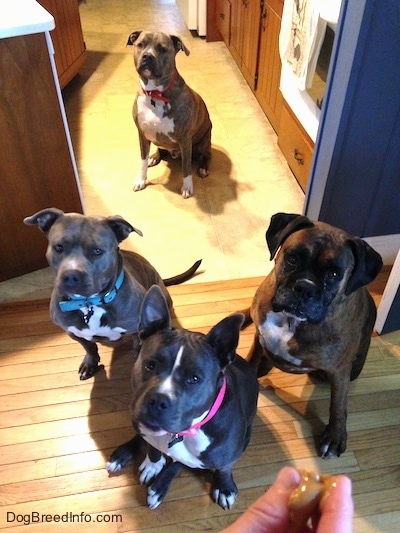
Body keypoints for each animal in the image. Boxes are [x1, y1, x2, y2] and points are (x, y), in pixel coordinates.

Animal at [106, 284, 258, 510]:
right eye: (150, 365)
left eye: (194, 379)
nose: (158, 401)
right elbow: (153, 448)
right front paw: (153, 463)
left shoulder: (226, 458)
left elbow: (223, 470)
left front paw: (224, 487)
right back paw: (124, 454)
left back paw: (159, 486)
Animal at [242, 212, 382, 458]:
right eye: (292, 258)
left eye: (334, 274)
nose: (304, 287)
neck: (291, 321)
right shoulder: (259, 337)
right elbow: (252, 357)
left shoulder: (339, 371)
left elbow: (338, 403)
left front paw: (335, 436)